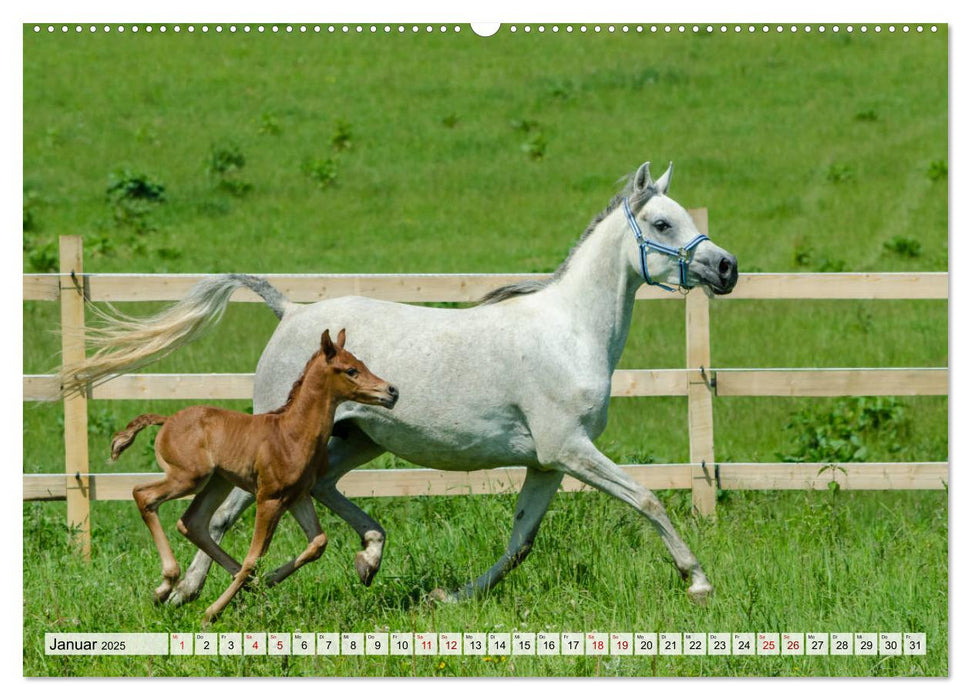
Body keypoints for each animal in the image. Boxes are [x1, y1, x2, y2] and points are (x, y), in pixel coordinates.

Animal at [112, 330, 400, 620]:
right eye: (351, 370)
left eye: (363, 363)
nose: (392, 391)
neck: (291, 434)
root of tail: (167, 419)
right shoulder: (269, 497)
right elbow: (254, 558)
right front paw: (211, 613)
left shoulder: (297, 495)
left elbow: (317, 542)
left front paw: (267, 580)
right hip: (189, 477)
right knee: (144, 495)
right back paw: (166, 585)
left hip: (217, 482)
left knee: (192, 522)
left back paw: (235, 585)